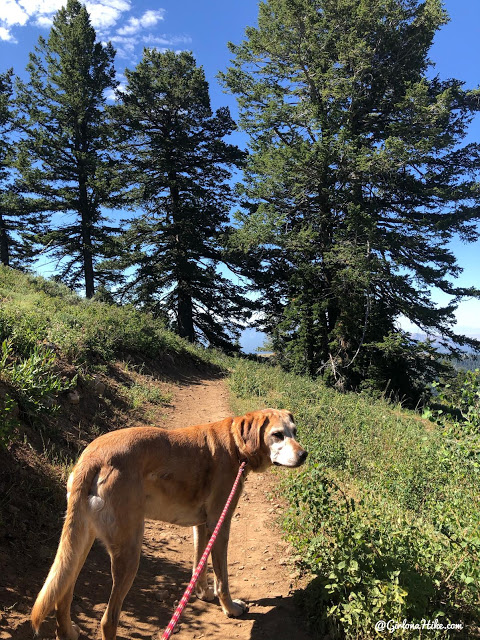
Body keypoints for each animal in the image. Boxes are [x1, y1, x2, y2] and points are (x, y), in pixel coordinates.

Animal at [31, 408, 308, 636]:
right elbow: (222, 579)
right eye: (277, 435)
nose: (305, 455)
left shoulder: (202, 527)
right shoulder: (220, 525)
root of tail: (92, 457)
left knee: (62, 599)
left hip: (80, 544)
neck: (236, 445)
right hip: (129, 553)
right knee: (108, 621)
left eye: (295, 432)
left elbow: (199, 567)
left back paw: (68, 631)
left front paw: (203, 594)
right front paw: (230, 608)